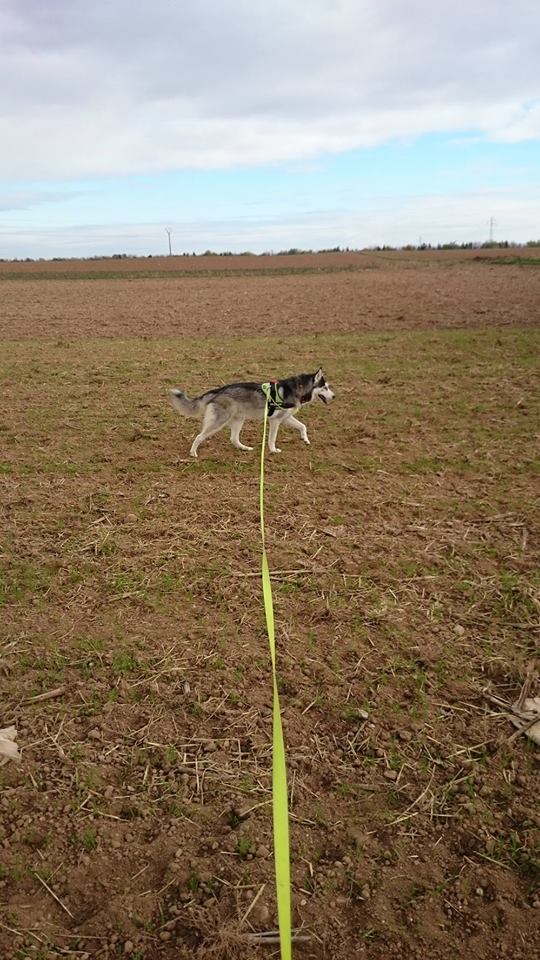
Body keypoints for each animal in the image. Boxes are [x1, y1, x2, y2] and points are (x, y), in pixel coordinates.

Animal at [171, 368, 336, 458]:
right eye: (325, 387)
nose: (334, 396)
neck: (298, 388)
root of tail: (219, 390)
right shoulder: (275, 421)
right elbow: (272, 439)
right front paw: (273, 450)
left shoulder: (286, 418)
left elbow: (303, 426)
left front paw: (305, 439)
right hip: (219, 422)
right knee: (199, 436)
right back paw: (193, 453)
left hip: (238, 420)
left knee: (234, 439)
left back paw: (245, 448)